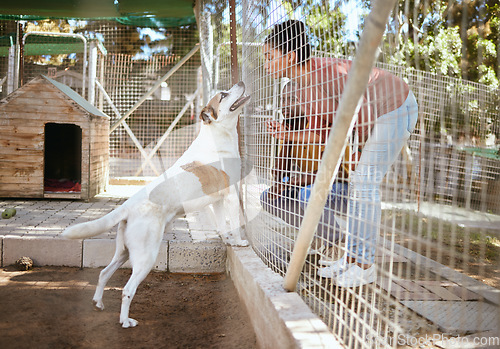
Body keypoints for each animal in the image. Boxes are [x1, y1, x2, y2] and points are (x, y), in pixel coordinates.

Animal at [61, 81, 250, 326]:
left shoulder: (217, 200)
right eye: (224, 95)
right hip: (146, 257)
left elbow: (222, 224)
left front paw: (227, 239)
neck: (217, 136)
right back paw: (125, 321)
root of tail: (128, 206)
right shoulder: (230, 196)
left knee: (104, 273)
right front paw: (239, 242)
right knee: (127, 289)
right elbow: (234, 224)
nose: (241, 83)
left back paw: (99, 303)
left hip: (124, 253)